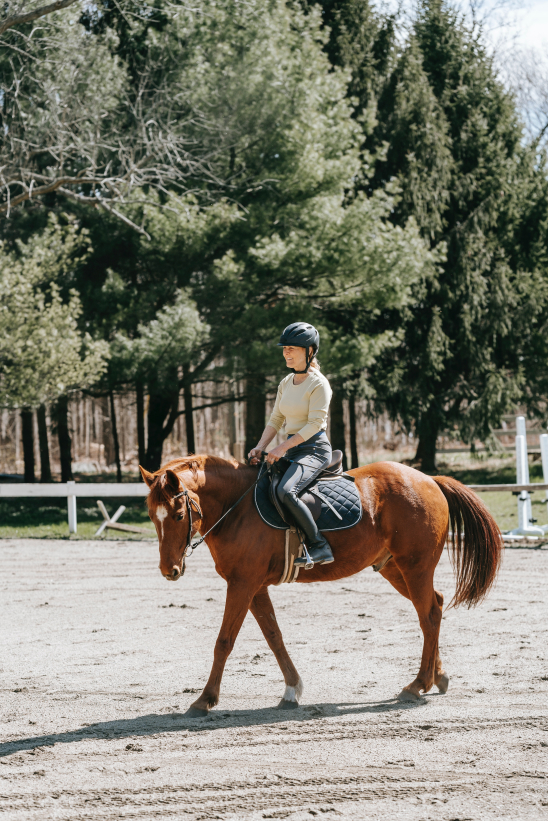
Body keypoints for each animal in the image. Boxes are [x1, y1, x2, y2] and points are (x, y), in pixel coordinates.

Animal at [140, 454, 500, 716]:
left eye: (177, 515)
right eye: (152, 516)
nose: (169, 570)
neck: (236, 509)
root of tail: (428, 480)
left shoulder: (242, 584)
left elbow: (224, 642)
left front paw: (205, 699)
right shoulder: (254, 587)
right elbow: (274, 636)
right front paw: (292, 689)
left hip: (415, 567)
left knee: (428, 615)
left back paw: (418, 684)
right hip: (395, 568)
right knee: (434, 607)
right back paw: (437, 677)